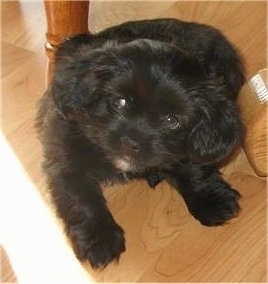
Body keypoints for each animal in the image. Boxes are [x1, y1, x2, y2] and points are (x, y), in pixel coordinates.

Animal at [36, 18, 246, 268]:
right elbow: (81, 198)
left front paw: (211, 201)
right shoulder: (64, 156)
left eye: (171, 120)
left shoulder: (188, 144)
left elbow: (194, 169)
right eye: (120, 102)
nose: (131, 142)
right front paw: (100, 239)